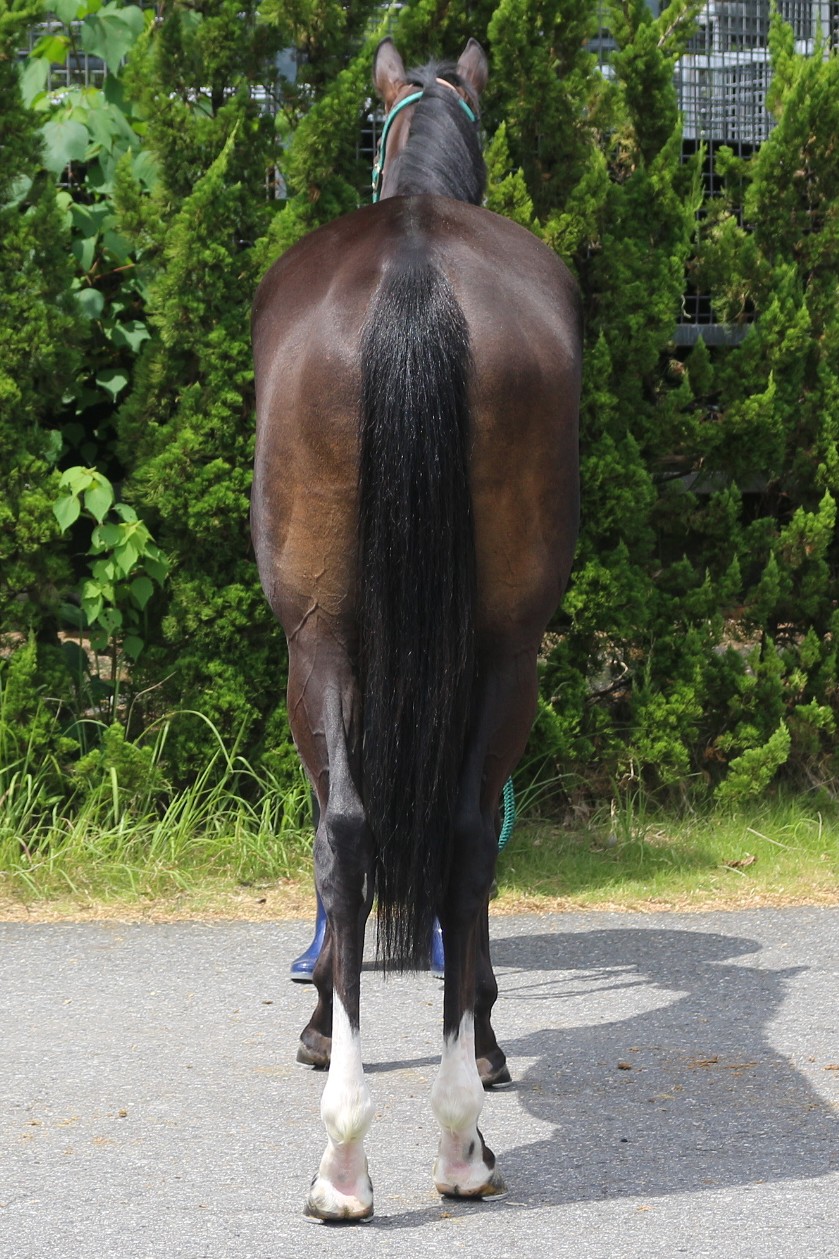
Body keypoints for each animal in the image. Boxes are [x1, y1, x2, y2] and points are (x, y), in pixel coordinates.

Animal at [251, 37, 582, 1220]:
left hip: (320, 645)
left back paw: (360, 1148)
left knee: (355, 831)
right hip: (501, 650)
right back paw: (440, 1135)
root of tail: (413, 271)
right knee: (457, 835)